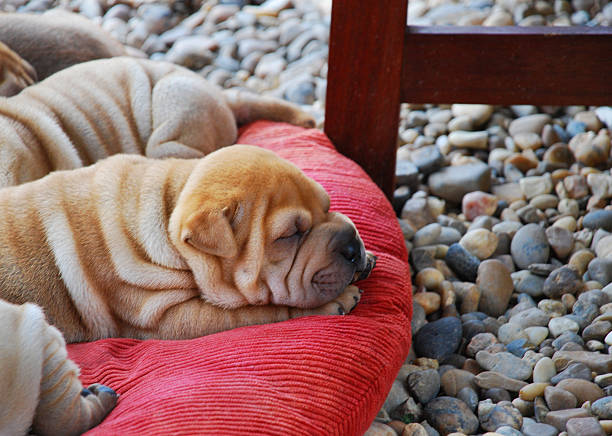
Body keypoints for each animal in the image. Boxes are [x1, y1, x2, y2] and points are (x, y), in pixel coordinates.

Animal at [0, 146, 376, 344]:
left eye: (327, 204)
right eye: (290, 235)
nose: (352, 246)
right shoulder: (170, 318)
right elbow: (258, 312)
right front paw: (335, 302)